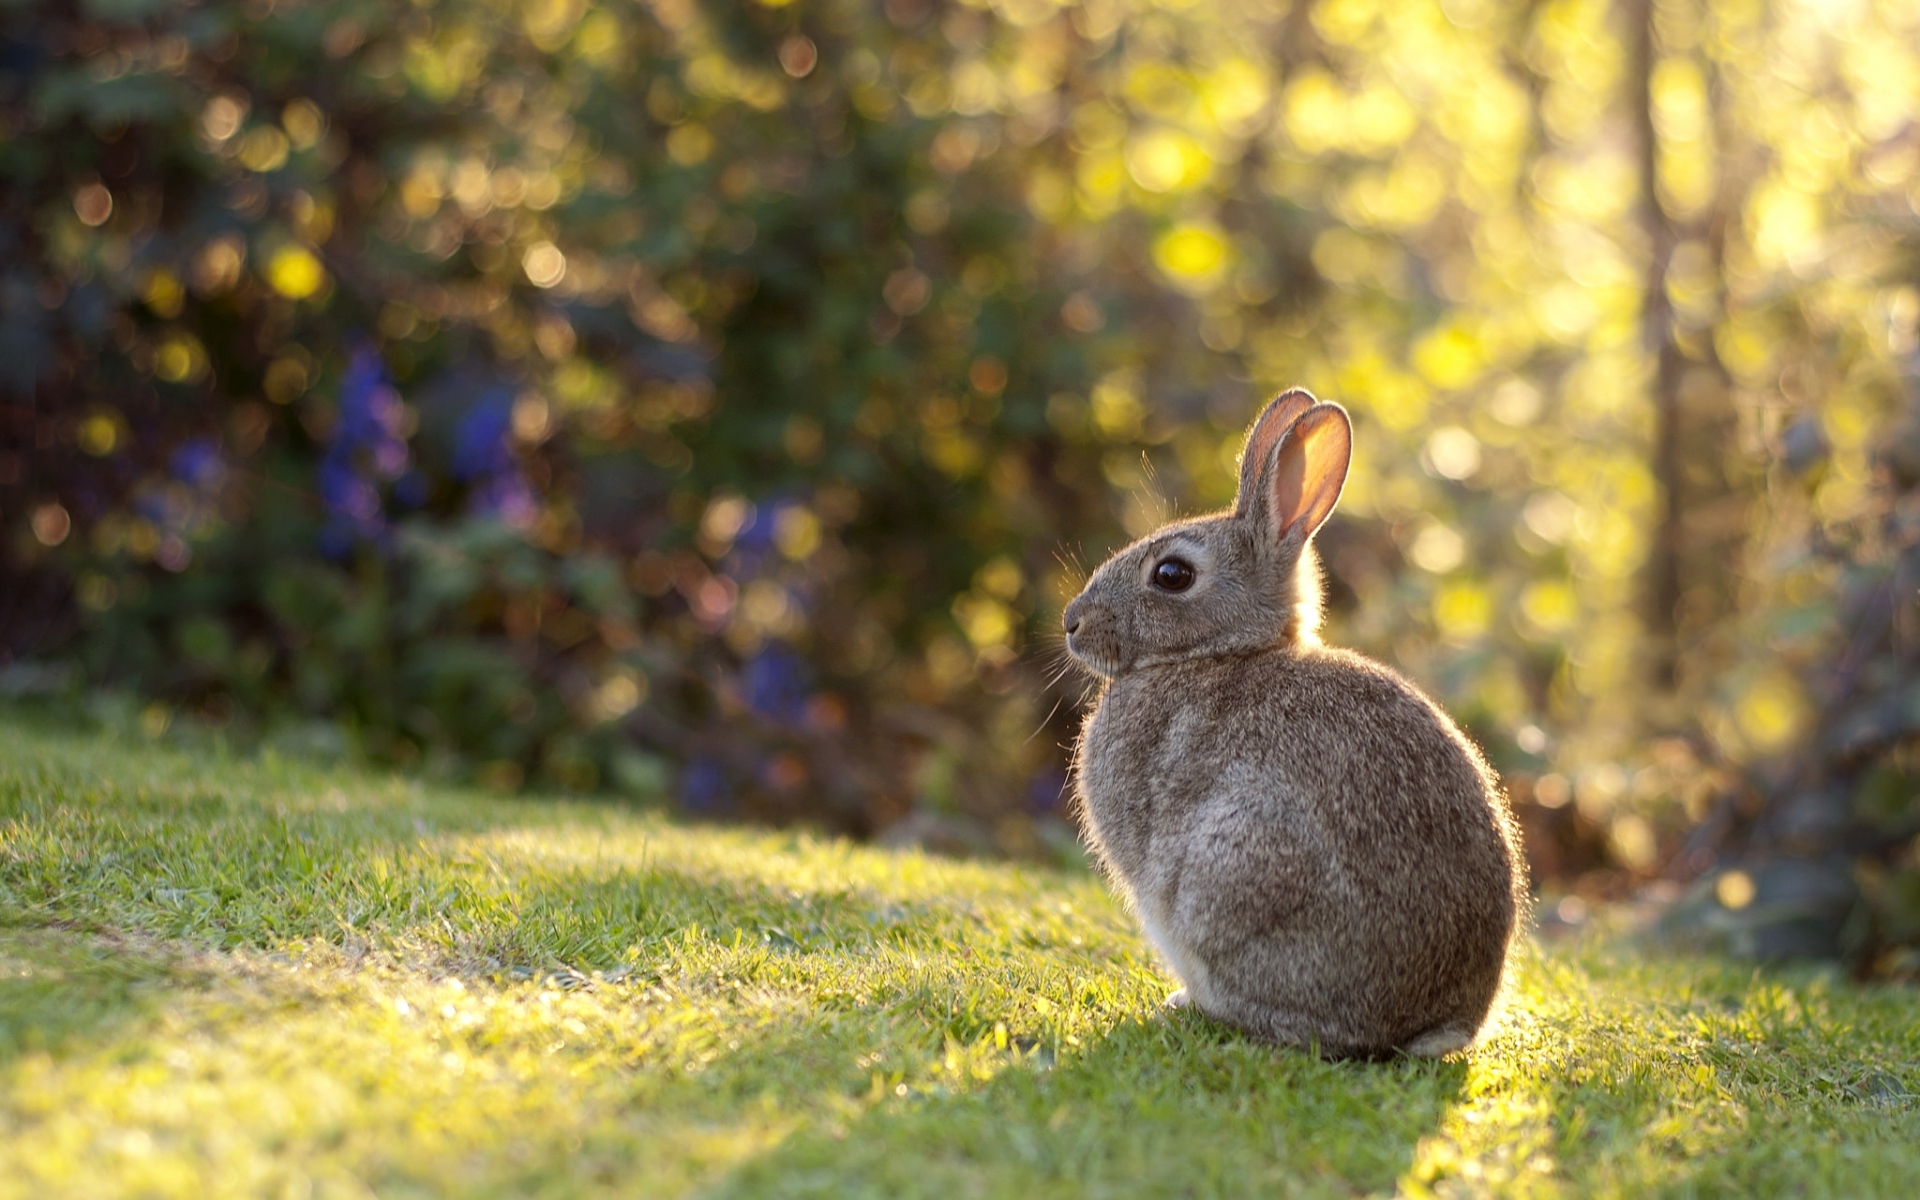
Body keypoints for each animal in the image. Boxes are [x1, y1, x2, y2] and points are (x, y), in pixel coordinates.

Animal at [1062, 388, 1525, 1059]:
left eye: (1172, 575)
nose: (1071, 622)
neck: (1220, 652)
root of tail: (1432, 1025)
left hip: (1238, 861)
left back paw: (1192, 1005)